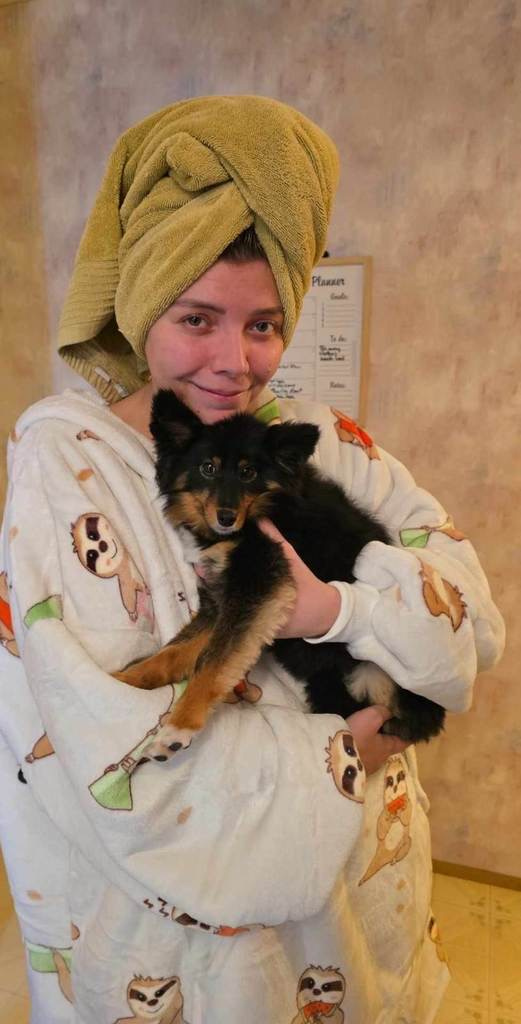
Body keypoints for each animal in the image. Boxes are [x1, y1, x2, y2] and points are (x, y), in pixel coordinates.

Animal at [115, 391, 444, 753]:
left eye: (248, 472)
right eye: (208, 468)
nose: (226, 516)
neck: (263, 509)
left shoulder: (258, 583)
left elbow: (213, 662)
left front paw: (178, 727)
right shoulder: (222, 599)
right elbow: (174, 652)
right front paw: (128, 679)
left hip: (372, 679)